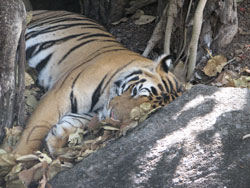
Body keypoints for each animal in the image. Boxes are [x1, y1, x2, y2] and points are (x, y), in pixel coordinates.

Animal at [15, 10, 184, 156]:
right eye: (135, 91)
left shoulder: (89, 113)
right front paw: (16, 162)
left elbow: (73, 123)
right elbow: (33, 133)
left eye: (143, 111)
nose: (114, 117)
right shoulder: (58, 95)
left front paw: (55, 140)